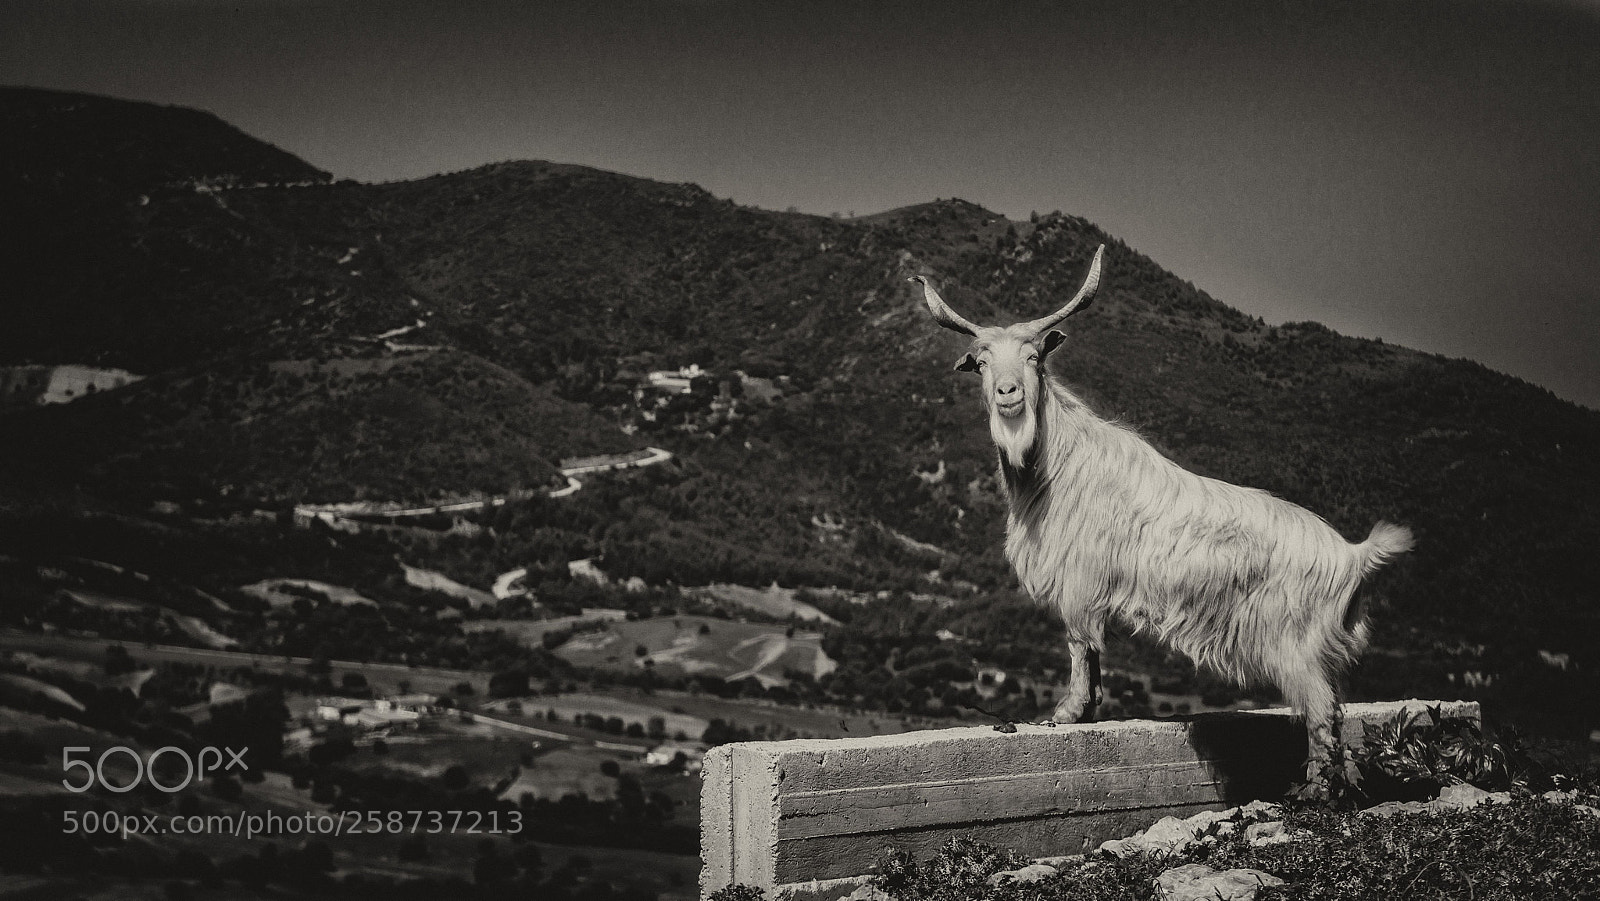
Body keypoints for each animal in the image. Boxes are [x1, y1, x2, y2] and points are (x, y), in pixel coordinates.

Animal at [912, 246, 1414, 777]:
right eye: (983, 363)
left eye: (1034, 357)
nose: (1009, 393)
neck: (1054, 463)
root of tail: (1354, 556)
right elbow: (1093, 650)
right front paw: (1090, 708)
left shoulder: (1079, 579)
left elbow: (1078, 643)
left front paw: (1067, 713)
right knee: (1336, 713)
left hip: (1296, 647)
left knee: (1322, 717)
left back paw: (1315, 790)